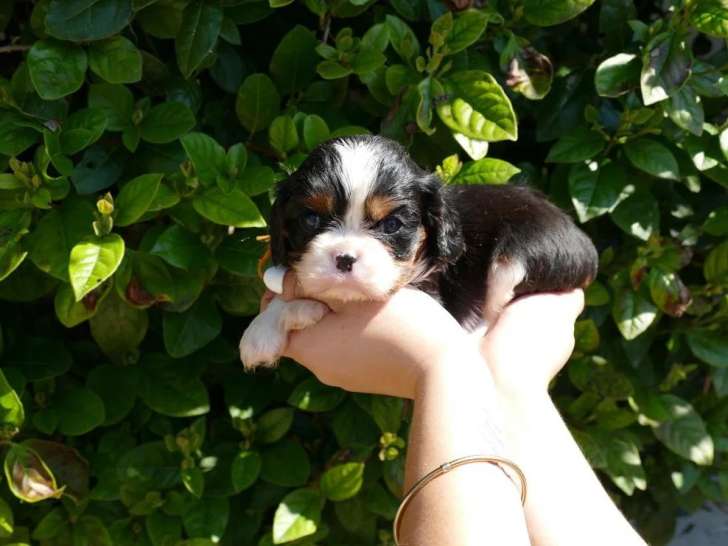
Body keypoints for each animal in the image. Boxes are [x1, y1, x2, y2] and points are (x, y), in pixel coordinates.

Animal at [239, 135, 598, 368]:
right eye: (311, 219)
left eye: (392, 225)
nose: (344, 258)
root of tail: (584, 241)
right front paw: (261, 333)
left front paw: (266, 328)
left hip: (517, 257)